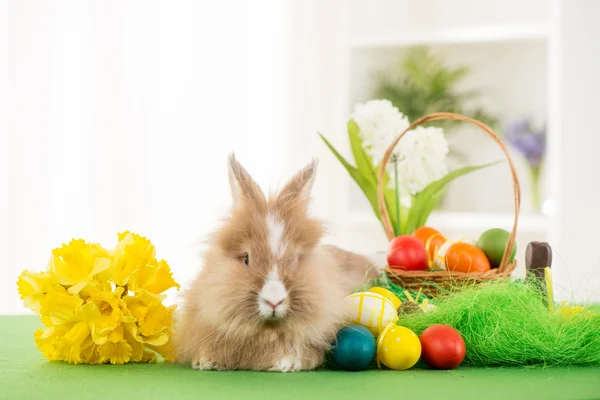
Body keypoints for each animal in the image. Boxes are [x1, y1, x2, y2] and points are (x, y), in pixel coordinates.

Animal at [175, 154, 380, 372]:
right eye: (246, 258)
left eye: (297, 258)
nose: (274, 301)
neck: (267, 330)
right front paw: (206, 362)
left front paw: (286, 363)